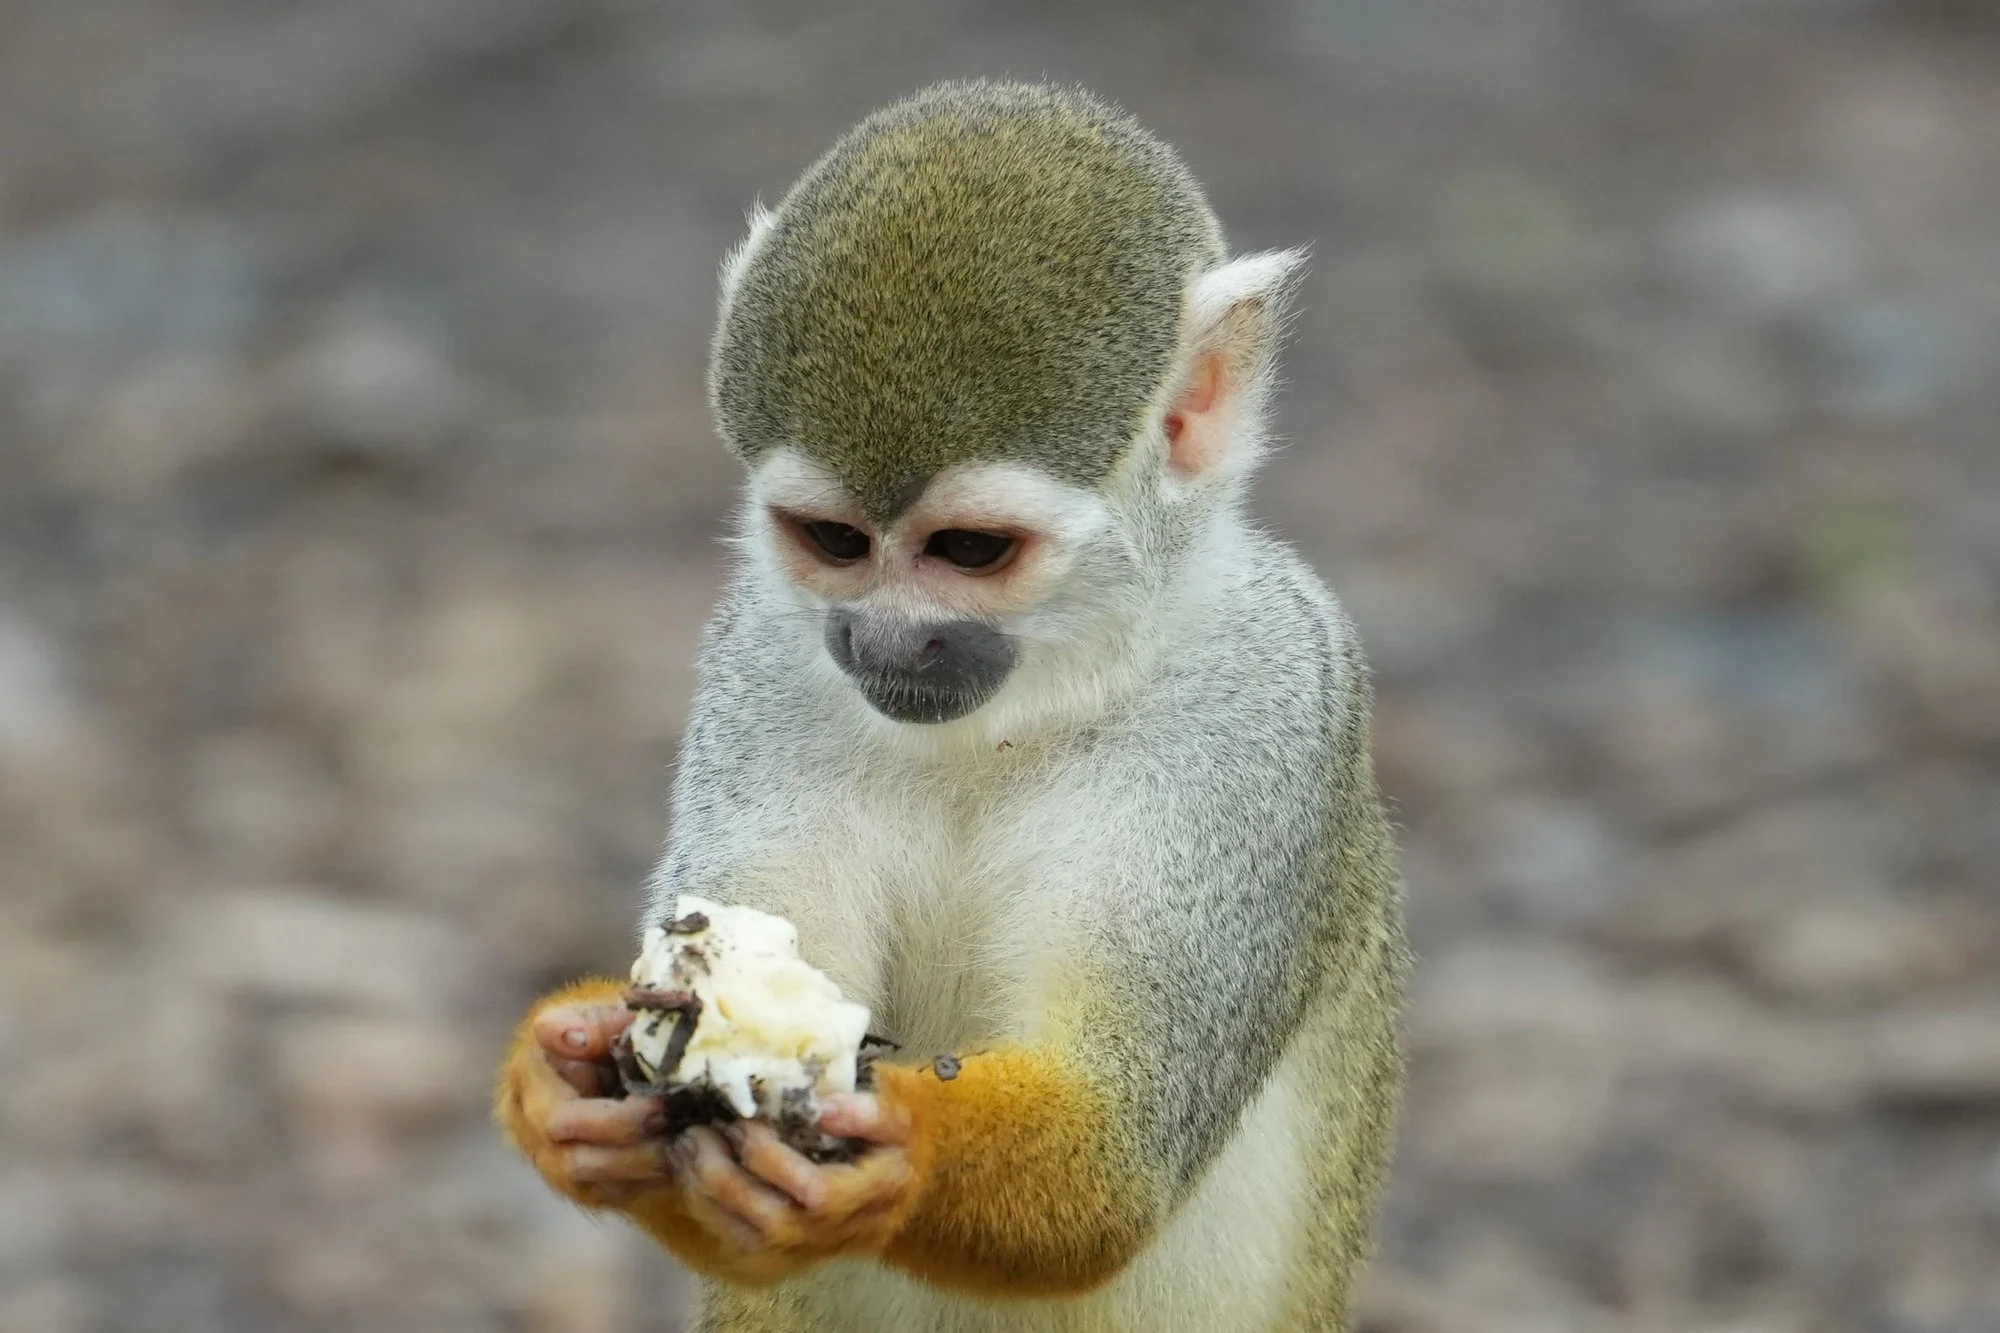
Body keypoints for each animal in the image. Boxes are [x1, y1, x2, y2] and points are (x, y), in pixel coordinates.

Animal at [496, 80, 1409, 1332]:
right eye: (833, 541)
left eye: (970, 551)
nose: (882, 641)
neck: (1020, 709)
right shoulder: (760, 660)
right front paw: (561, 1081)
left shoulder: (1267, 713)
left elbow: (1103, 1163)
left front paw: (898, 1152)